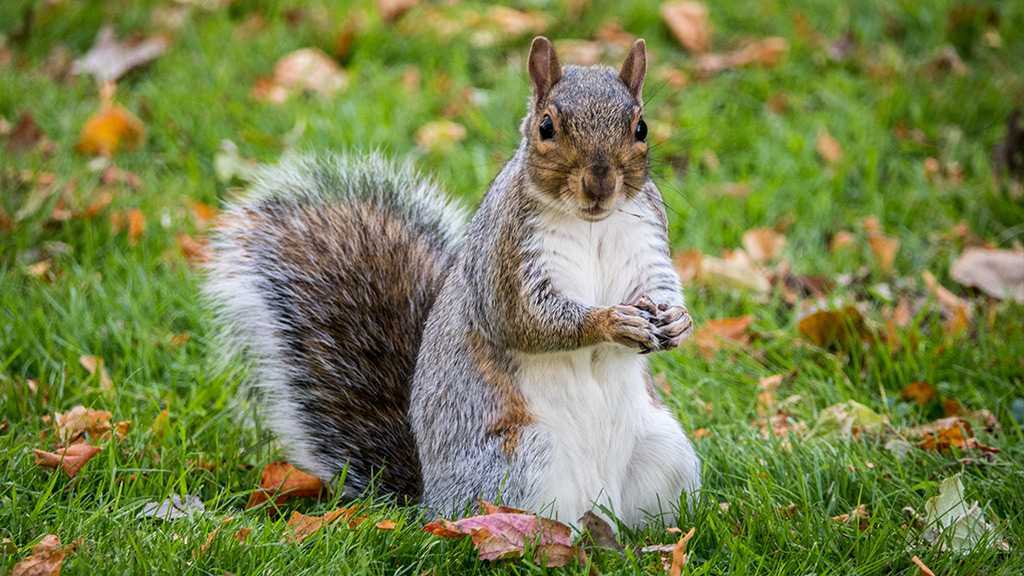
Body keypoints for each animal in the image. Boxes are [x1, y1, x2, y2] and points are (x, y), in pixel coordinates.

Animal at [207, 38, 704, 528]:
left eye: (641, 128)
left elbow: (659, 284)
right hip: (521, 463)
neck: (591, 224)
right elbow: (524, 319)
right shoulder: (505, 258)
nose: (600, 184)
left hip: (665, 452)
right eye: (547, 127)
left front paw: (678, 322)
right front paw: (612, 322)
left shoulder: (646, 242)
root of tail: (430, 502)